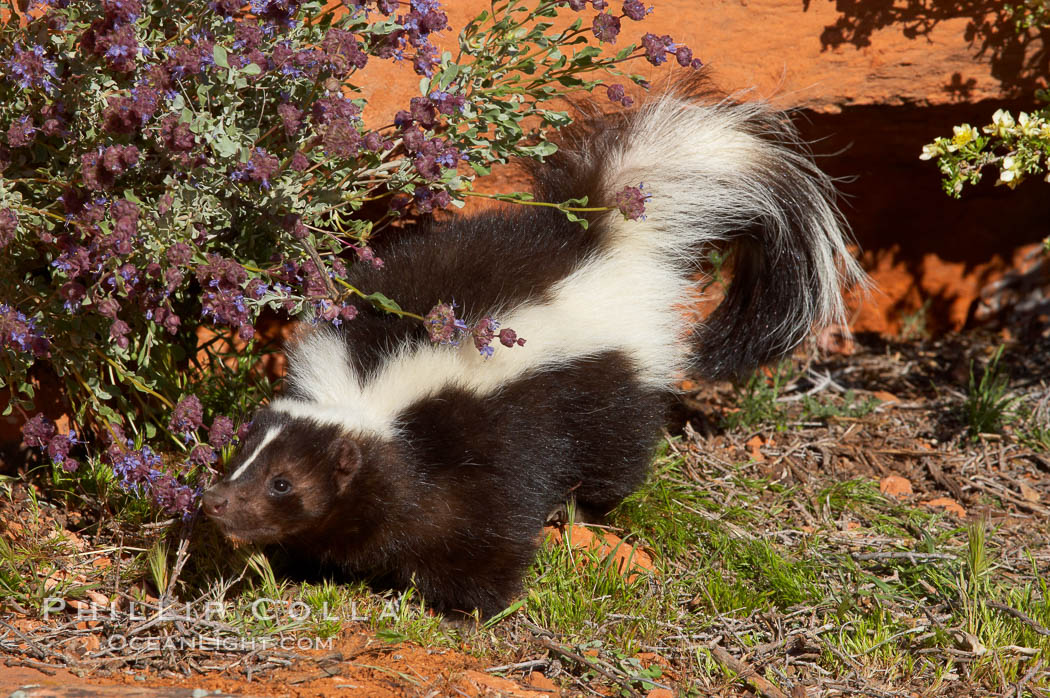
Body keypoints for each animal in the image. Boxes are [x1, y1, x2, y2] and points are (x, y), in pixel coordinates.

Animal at [200, 85, 865, 617]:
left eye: (282, 483)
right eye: (238, 455)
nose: (214, 501)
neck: (377, 398)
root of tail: (597, 241)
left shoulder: (485, 444)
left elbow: (489, 528)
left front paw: (470, 607)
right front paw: (304, 563)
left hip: (609, 391)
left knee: (617, 455)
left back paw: (588, 511)